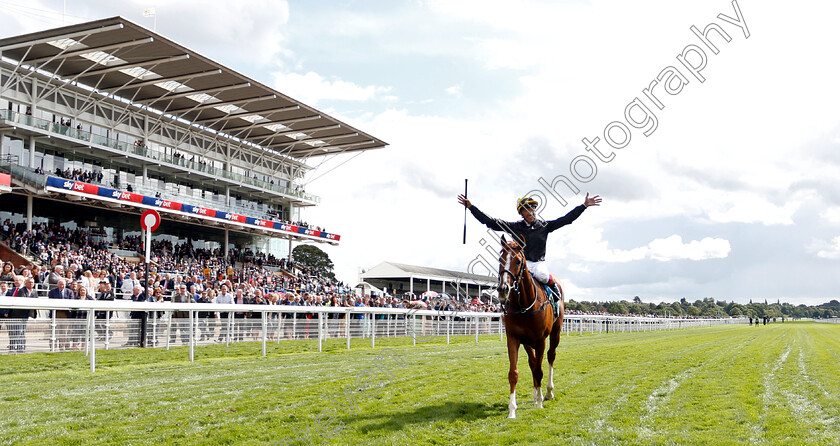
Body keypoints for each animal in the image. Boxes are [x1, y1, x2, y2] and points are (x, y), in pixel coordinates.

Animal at [498, 235, 564, 420]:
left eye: (519, 261)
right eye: (500, 259)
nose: (503, 289)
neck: (525, 305)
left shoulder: (541, 339)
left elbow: (539, 370)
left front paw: (540, 402)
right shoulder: (513, 338)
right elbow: (514, 373)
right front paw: (512, 410)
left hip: (556, 332)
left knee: (550, 356)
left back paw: (547, 393)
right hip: (527, 342)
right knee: (532, 362)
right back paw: (536, 394)